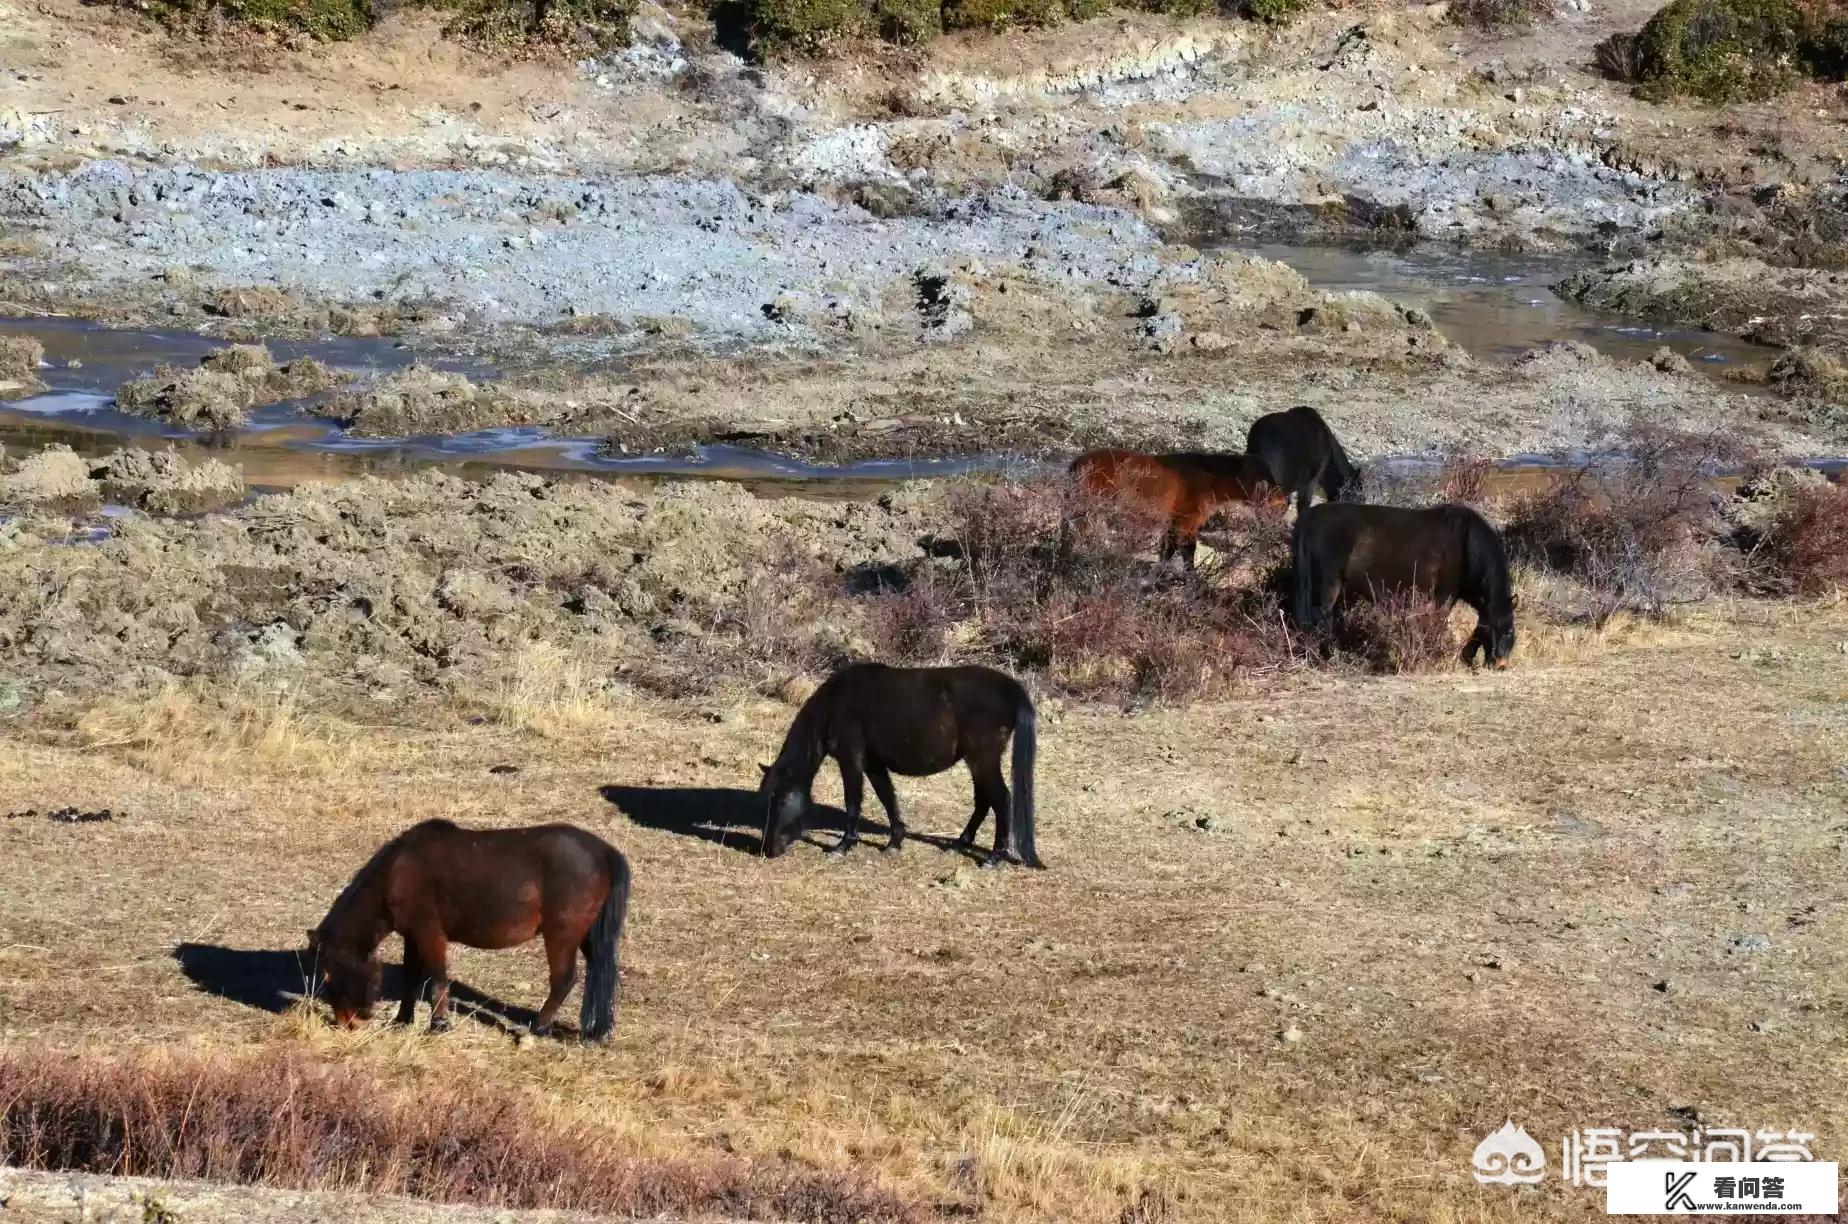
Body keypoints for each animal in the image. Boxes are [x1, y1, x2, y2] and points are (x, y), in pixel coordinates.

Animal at [306, 824, 632, 1042]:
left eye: (329, 976)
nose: (347, 1024)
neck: (398, 875)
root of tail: (604, 852)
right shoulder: (412, 936)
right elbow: (411, 976)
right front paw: (403, 1019)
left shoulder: (429, 934)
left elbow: (437, 978)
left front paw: (438, 1025)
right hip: (588, 937)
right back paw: (595, 1031)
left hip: (561, 936)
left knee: (564, 979)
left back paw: (538, 1028)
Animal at [753, 661, 1042, 872]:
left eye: (782, 800)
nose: (768, 850)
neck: (836, 703)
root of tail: (1011, 689)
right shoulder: (873, 765)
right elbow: (887, 799)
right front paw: (895, 842)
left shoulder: (851, 760)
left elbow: (853, 802)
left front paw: (843, 846)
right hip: (977, 762)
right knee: (983, 801)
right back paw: (958, 845)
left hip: (983, 759)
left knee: (1001, 800)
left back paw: (994, 858)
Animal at [1071, 449, 1286, 573]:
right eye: (1263, 481)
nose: (1283, 502)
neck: (1209, 478)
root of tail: (1076, 463)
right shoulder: (1186, 521)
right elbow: (1188, 550)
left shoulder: (1173, 522)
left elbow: (1168, 549)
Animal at [1293, 502, 1522, 673]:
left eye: (1509, 630)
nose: (1499, 664)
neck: (1465, 543)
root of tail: (1309, 517)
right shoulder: (1445, 595)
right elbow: (1438, 623)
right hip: (1328, 585)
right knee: (1322, 619)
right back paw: (1325, 658)